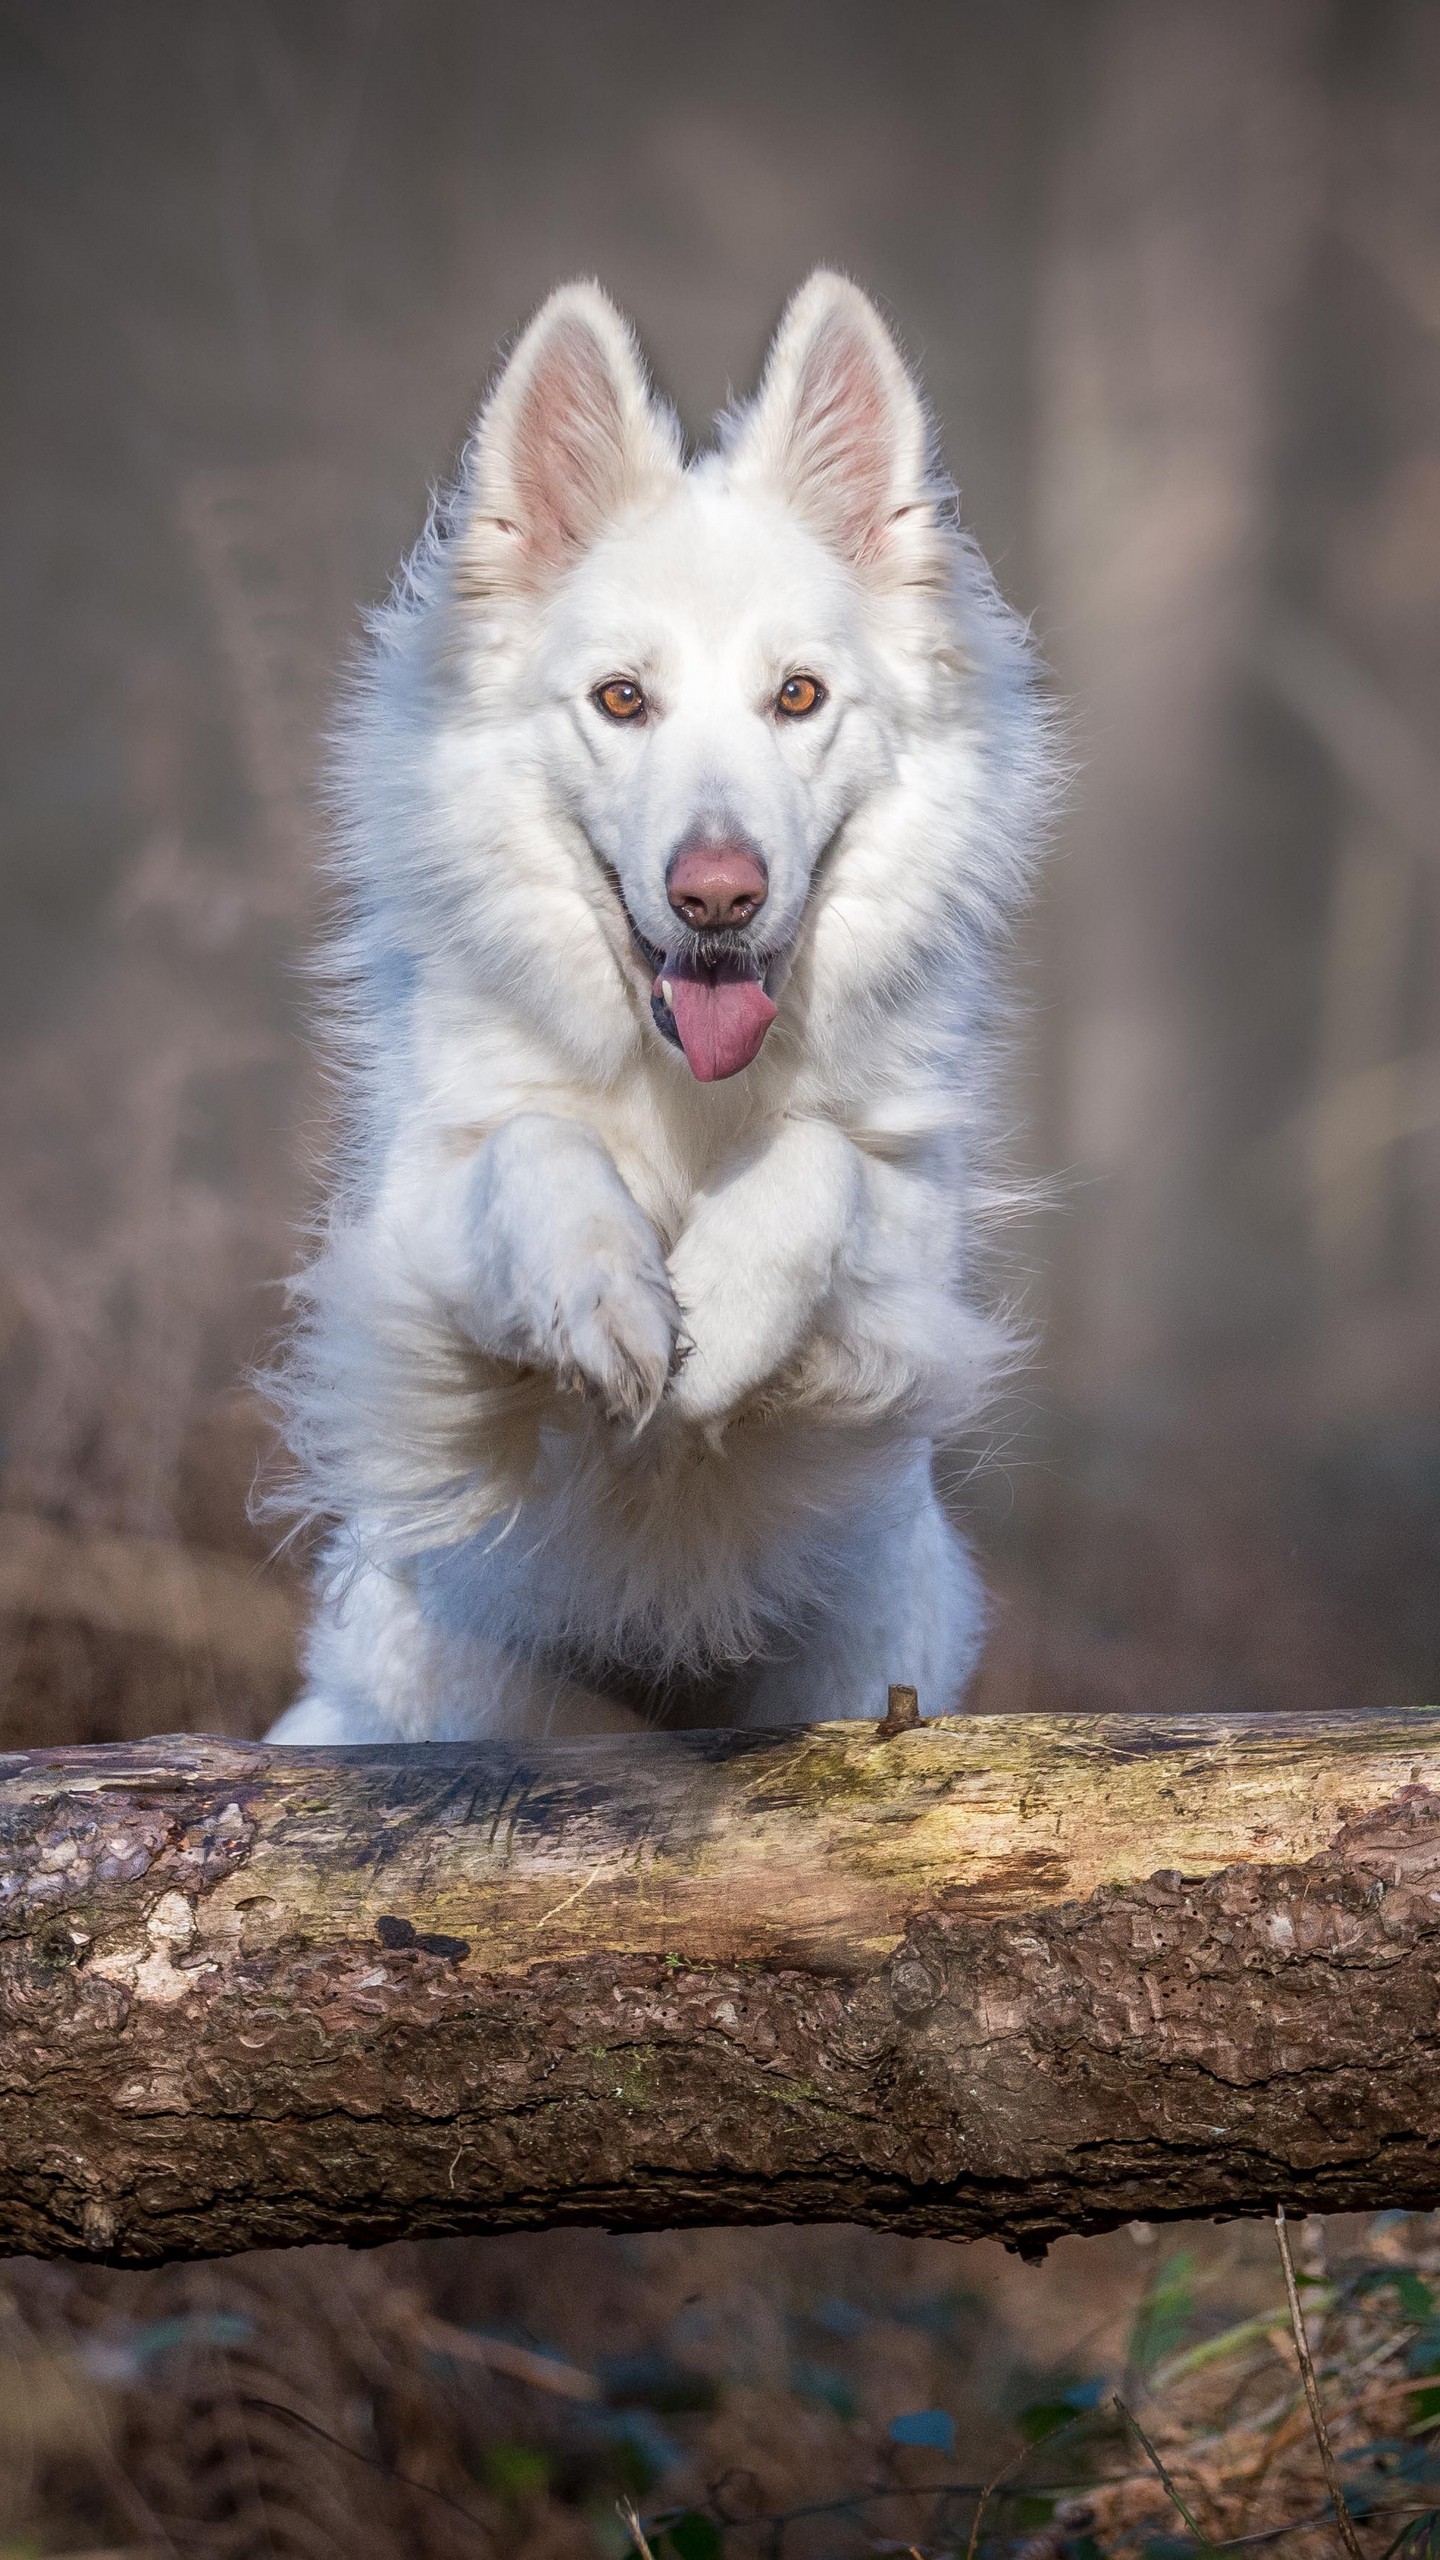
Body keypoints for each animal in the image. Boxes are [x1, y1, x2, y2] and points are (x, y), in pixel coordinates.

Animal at [263, 270, 1050, 1751]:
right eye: (622, 699)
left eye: (797, 695)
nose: (719, 896)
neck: (688, 1092)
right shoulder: (411, 1236)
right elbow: (530, 1147)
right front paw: (606, 1294)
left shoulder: (909, 1267)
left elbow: (823, 1163)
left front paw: (723, 1309)